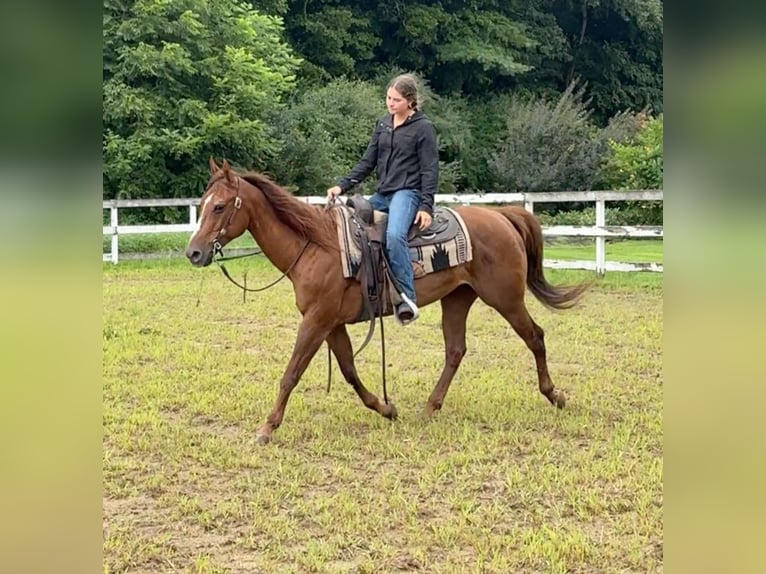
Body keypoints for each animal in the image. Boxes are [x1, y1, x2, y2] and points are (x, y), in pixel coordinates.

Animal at [184, 160, 588, 448]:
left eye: (220, 206)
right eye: (202, 205)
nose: (194, 252)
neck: (315, 244)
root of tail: (502, 215)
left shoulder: (316, 320)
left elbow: (291, 373)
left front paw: (268, 427)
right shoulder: (331, 323)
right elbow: (348, 370)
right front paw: (385, 407)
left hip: (505, 298)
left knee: (535, 336)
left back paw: (555, 395)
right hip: (458, 299)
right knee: (455, 350)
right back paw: (429, 407)